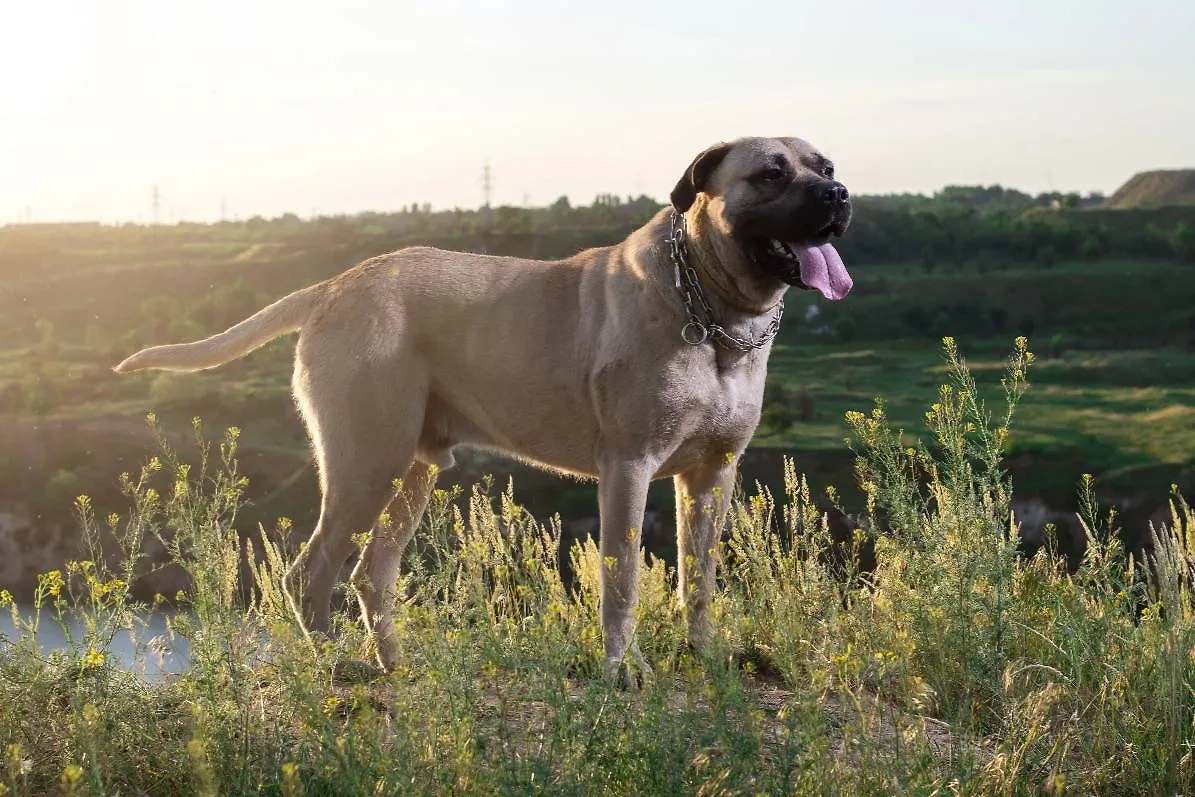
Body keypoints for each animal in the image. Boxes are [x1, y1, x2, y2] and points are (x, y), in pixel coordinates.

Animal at [114, 137, 850, 688]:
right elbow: (621, 575)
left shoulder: (712, 473)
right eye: (770, 172)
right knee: (313, 569)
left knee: (371, 572)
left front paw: (703, 654)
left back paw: (395, 665)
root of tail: (333, 285)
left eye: (826, 167)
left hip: (410, 471)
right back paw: (334, 667)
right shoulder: (629, 467)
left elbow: (699, 575)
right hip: (365, 462)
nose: (839, 195)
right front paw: (622, 667)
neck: (711, 309)